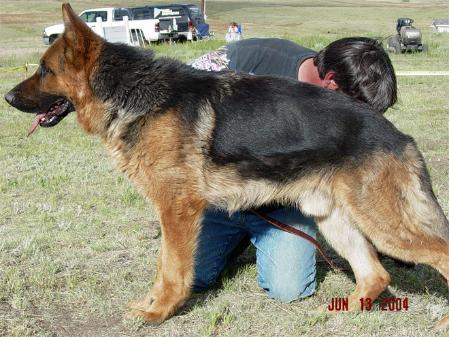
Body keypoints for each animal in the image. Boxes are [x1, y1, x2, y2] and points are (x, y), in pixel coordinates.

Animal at [4, 2, 448, 328]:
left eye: (44, 70)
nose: (7, 97)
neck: (128, 93)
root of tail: (398, 135)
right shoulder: (174, 210)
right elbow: (164, 264)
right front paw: (152, 303)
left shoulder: (177, 208)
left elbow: (172, 268)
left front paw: (158, 312)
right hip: (335, 220)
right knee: (376, 274)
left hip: (382, 223)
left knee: (437, 253)